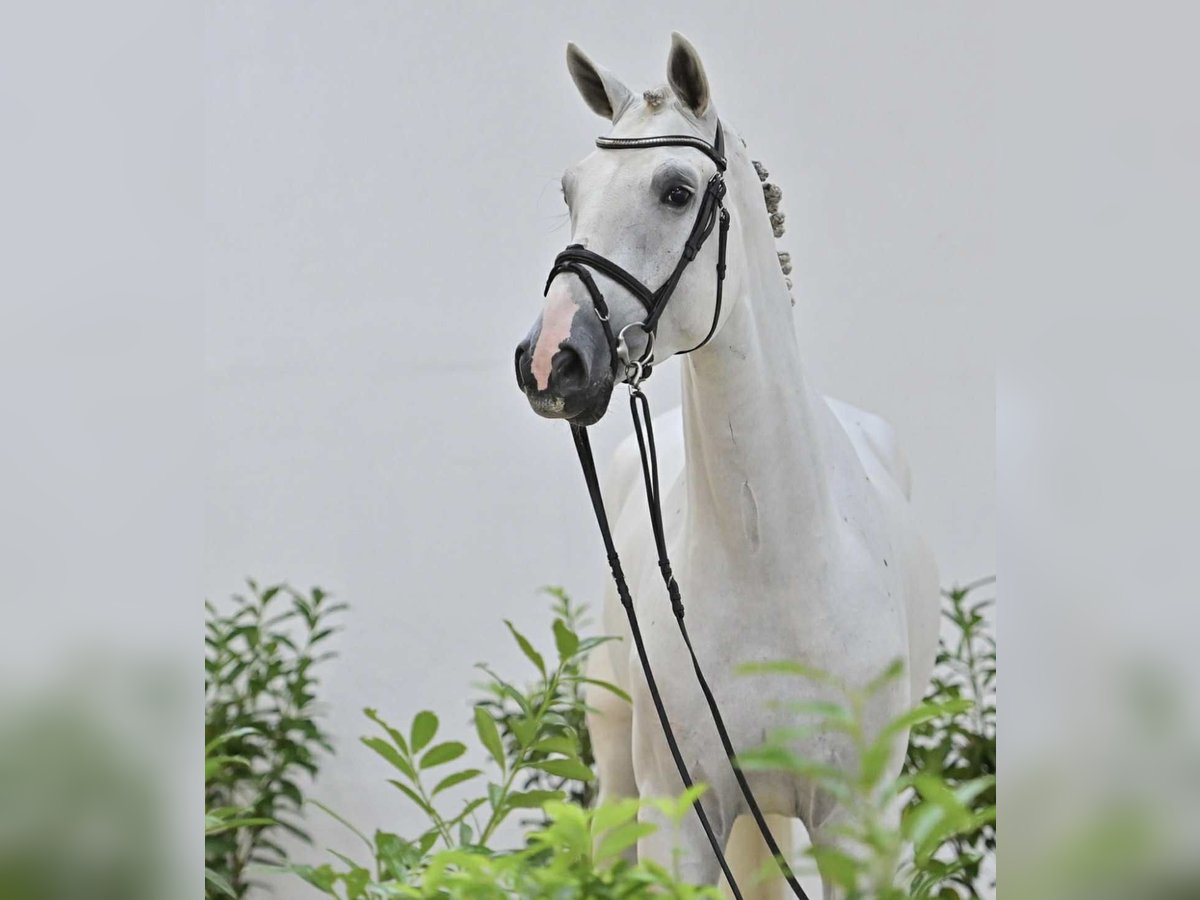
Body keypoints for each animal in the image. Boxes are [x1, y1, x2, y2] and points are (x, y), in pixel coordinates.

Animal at [513, 33, 939, 899]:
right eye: (571, 190)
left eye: (677, 191)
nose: (551, 360)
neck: (775, 563)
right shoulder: (679, 815)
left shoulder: (859, 825)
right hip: (619, 766)